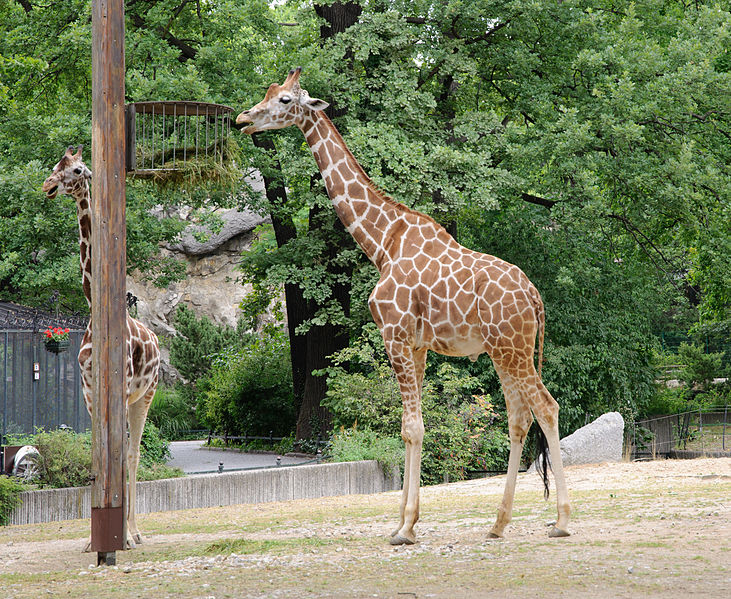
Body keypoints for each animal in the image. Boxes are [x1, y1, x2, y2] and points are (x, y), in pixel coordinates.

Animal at [43, 148, 160, 552]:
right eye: (55, 167)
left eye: (78, 170)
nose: (47, 186)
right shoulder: (89, 390)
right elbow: (98, 458)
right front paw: (89, 540)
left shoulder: (121, 390)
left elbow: (121, 456)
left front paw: (123, 536)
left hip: (145, 395)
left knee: (134, 453)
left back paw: (136, 532)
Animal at [239, 69, 572, 544]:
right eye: (267, 93)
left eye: (284, 99)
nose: (244, 119)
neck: (381, 243)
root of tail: (534, 295)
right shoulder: (417, 345)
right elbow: (410, 428)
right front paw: (403, 521)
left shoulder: (393, 334)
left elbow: (411, 427)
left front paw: (406, 527)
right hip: (504, 351)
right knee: (518, 417)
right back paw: (498, 523)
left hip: (514, 349)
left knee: (545, 407)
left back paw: (561, 520)